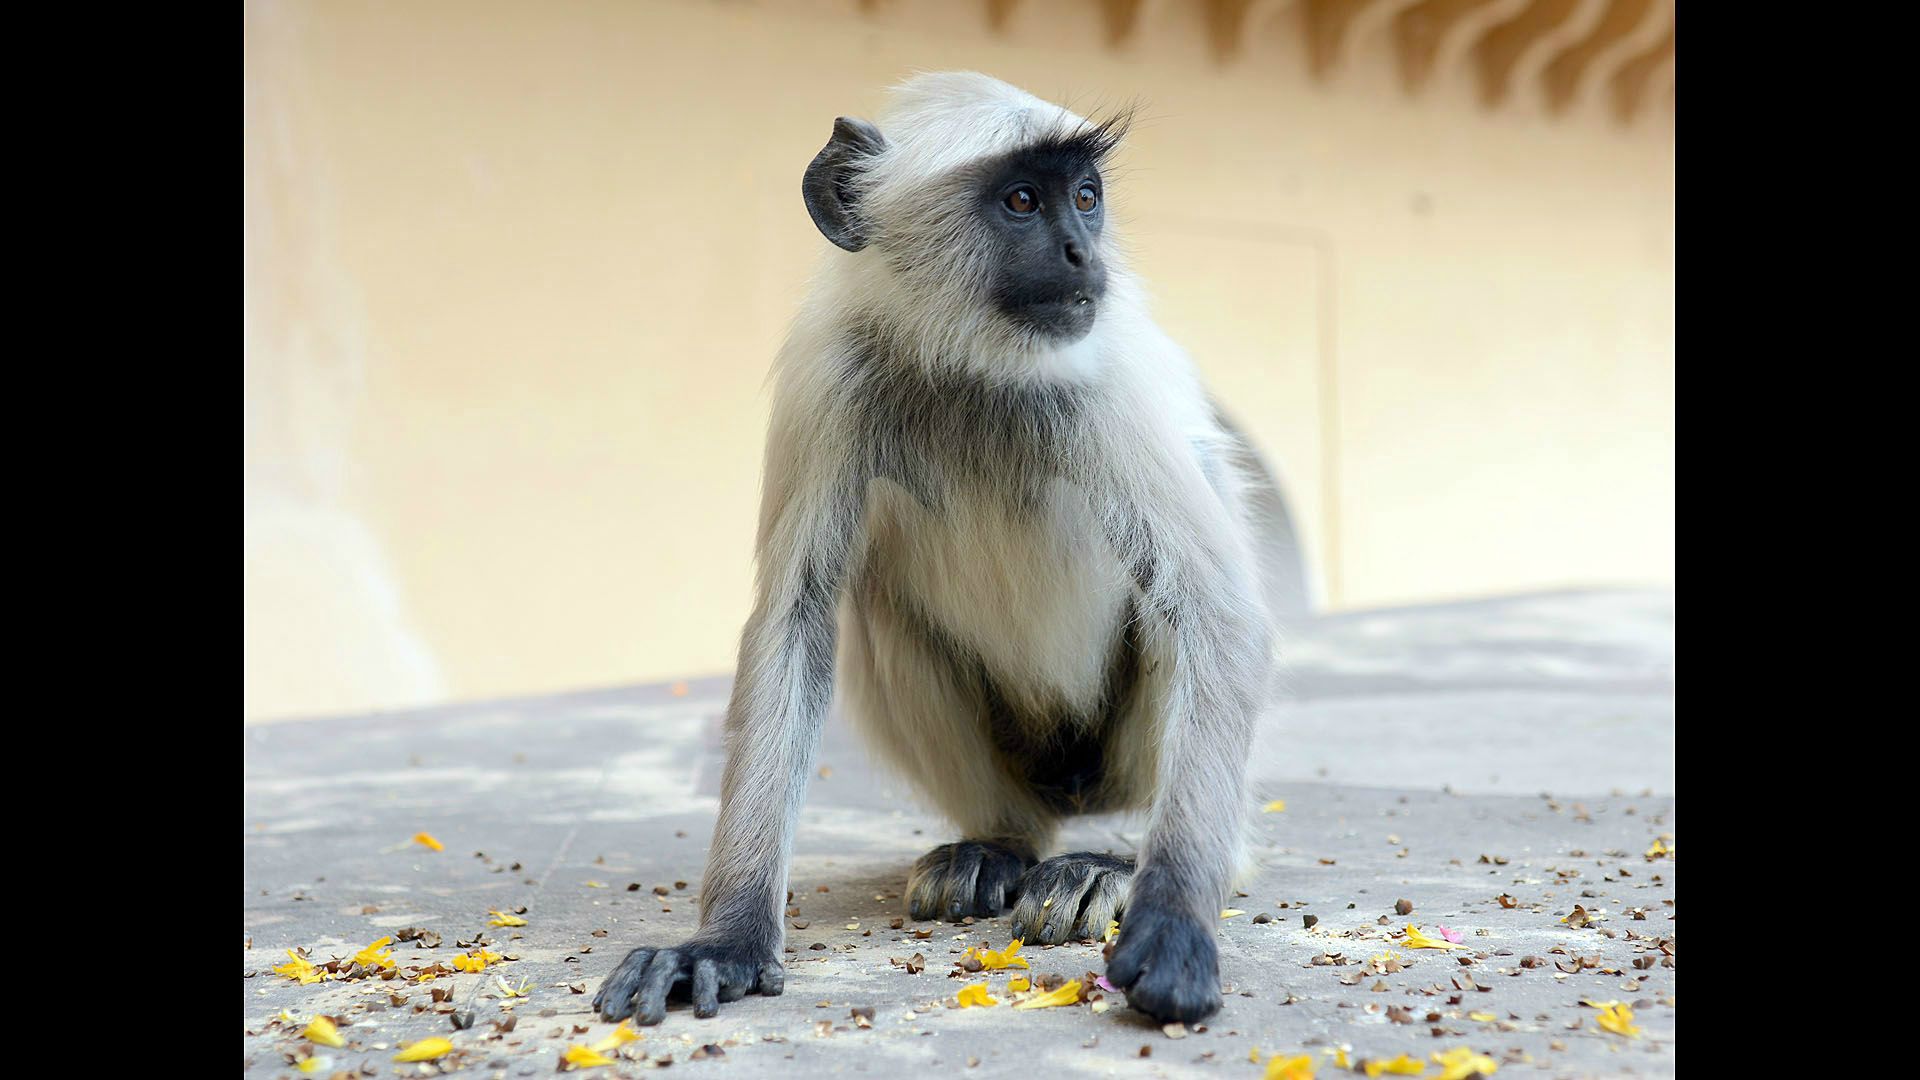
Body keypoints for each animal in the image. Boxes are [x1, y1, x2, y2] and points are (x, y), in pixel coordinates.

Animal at [591, 73, 1282, 1022]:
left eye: (1086, 198)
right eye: (1023, 202)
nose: (1081, 254)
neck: (969, 366)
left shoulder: (1095, 374)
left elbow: (1216, 611)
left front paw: (1175, 921)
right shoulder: (831, 375)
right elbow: (794, 621)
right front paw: (725, 939)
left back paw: (1113, 861)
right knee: (877, 604)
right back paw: (995, 847)